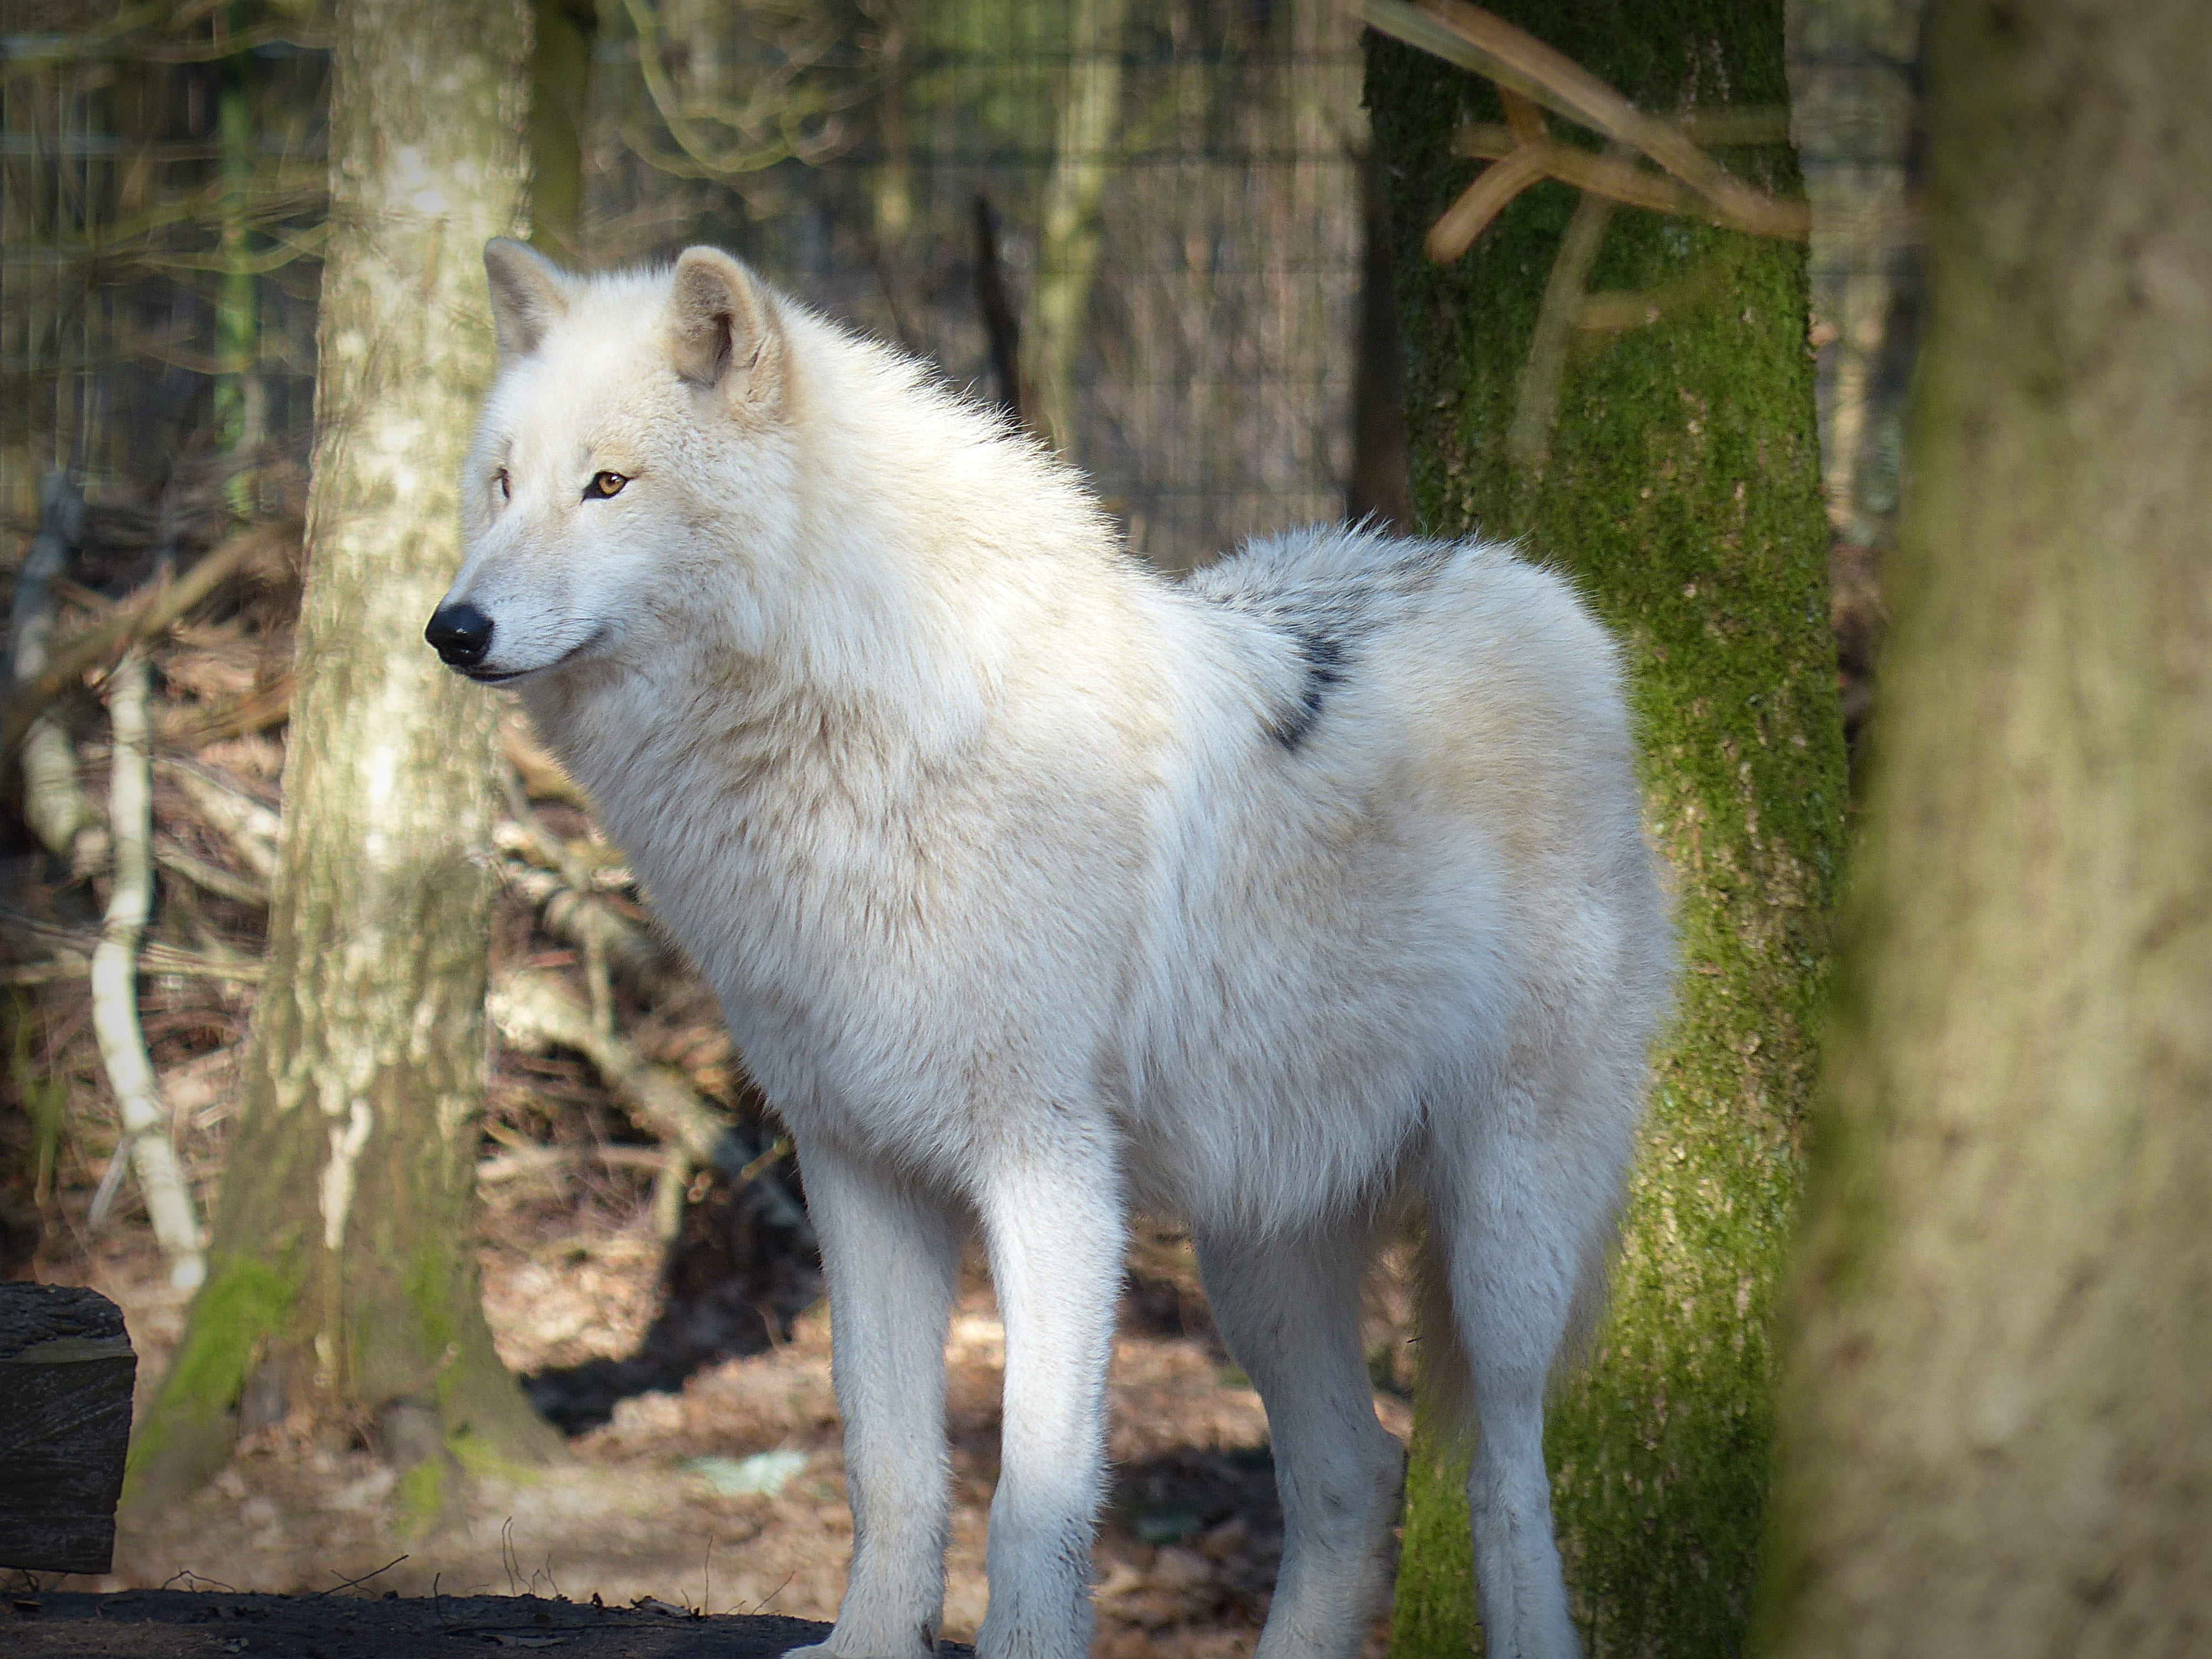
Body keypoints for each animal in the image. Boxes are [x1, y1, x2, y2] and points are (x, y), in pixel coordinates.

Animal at [428, 239, 1671, 1659]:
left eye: (609, 484)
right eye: (504, 481)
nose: (452, 628)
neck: (851, 743)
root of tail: (1529, 589)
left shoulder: (1050, 1167)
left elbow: (1034, 1487)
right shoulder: (853, 1163)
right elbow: (888, 1460)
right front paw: (866, 1643)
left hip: (1501, 1233)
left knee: (1502, 1472)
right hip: (1260, 1251)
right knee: (1356, 1480)